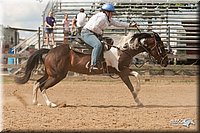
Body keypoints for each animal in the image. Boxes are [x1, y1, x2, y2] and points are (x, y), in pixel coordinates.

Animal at [14, 31, 169, 107]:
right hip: (57, 76)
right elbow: (131, 85)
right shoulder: (121, 72)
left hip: (50, 74)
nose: (167, 62)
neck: (122, 49)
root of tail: (50, 51)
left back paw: (36, 102)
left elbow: (137, 75)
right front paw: (137, 95)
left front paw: (139, 100)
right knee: (42, 86)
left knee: (36, 83)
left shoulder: (123, 70)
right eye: (162, 47)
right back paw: (50, 103)